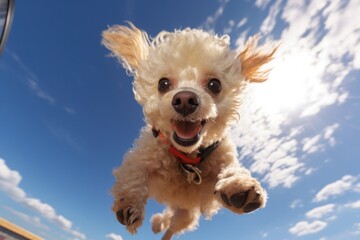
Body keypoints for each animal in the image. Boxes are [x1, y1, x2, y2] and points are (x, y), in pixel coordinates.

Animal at [102, 23, 278, 240]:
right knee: (167, 219)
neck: (187, 159)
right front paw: (129, 203)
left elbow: (231, 169)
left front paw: (238, 185)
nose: (185, 100)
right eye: (163, 83)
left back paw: (161, 227)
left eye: (215, 85)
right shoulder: (142, 157)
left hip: (185, 215)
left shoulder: (218, 165)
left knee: (171, 226)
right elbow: (134, 175)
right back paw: (157, 223)